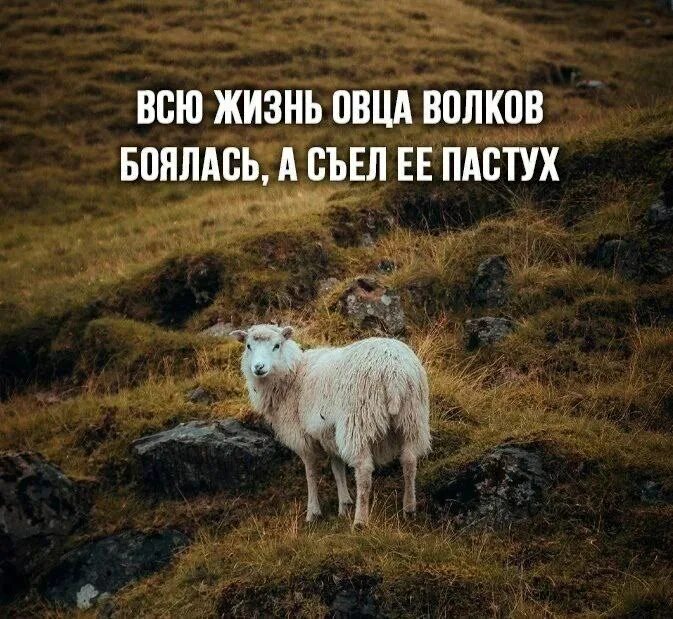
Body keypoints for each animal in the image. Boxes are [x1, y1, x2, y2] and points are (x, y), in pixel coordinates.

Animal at [230, 324, 431, 527]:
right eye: (248, 346)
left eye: (277, 345)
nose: (258, 367)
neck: (294, 374)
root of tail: (393, 371)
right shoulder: (329, 433)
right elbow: (337, 468)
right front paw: (344, 505)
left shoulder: (304, 438)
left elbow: (311, 473)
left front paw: (313, 513)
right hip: (412, 418)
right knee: (409, 460)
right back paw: (409, 509)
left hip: (358, 420)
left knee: (364, 469)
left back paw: (360, 521)